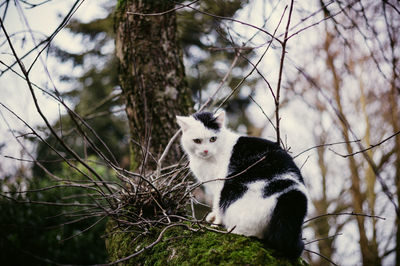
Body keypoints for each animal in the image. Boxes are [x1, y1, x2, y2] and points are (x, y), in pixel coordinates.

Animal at [176, 110, 310, 260]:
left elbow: (217, 204)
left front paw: (216, 221)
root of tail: (289, 197)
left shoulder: (219, 184)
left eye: (213, 139)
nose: (206, 151)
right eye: (197, 141)